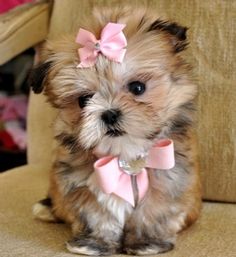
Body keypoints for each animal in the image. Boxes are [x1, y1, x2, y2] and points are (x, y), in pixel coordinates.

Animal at [30, 5, 202, 254]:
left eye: (137, 87)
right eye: (83, 100)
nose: (109, 114)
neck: (123, 155)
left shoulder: (170, 179)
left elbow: (153, 210)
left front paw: (146, 241)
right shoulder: (82, 184)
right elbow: (97, 213)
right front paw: (95, 243)